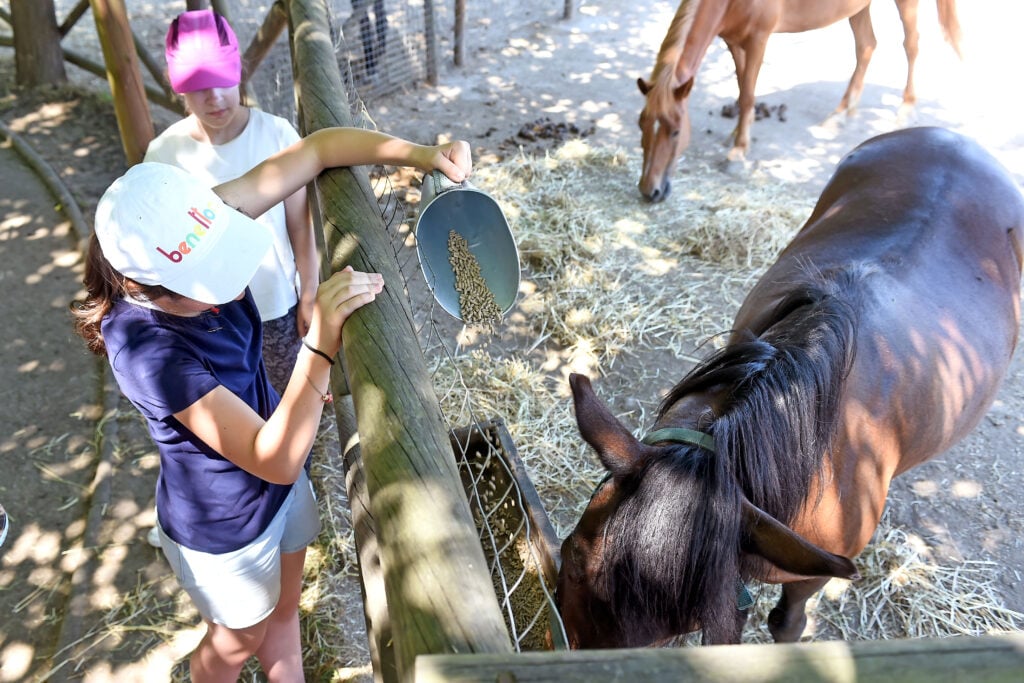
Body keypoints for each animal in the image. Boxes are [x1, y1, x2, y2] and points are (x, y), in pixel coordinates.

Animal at [637, 0, 963, 202]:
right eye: (642, 126)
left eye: (676, 131)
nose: (649, 190)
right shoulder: (733, 41)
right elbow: (742, 89)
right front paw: (736, 136)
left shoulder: (758, 40)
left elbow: (748, 95)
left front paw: (737, 153)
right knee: (866, 45)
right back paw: (841, 114)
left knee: (911, 45)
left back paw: (905, 109)